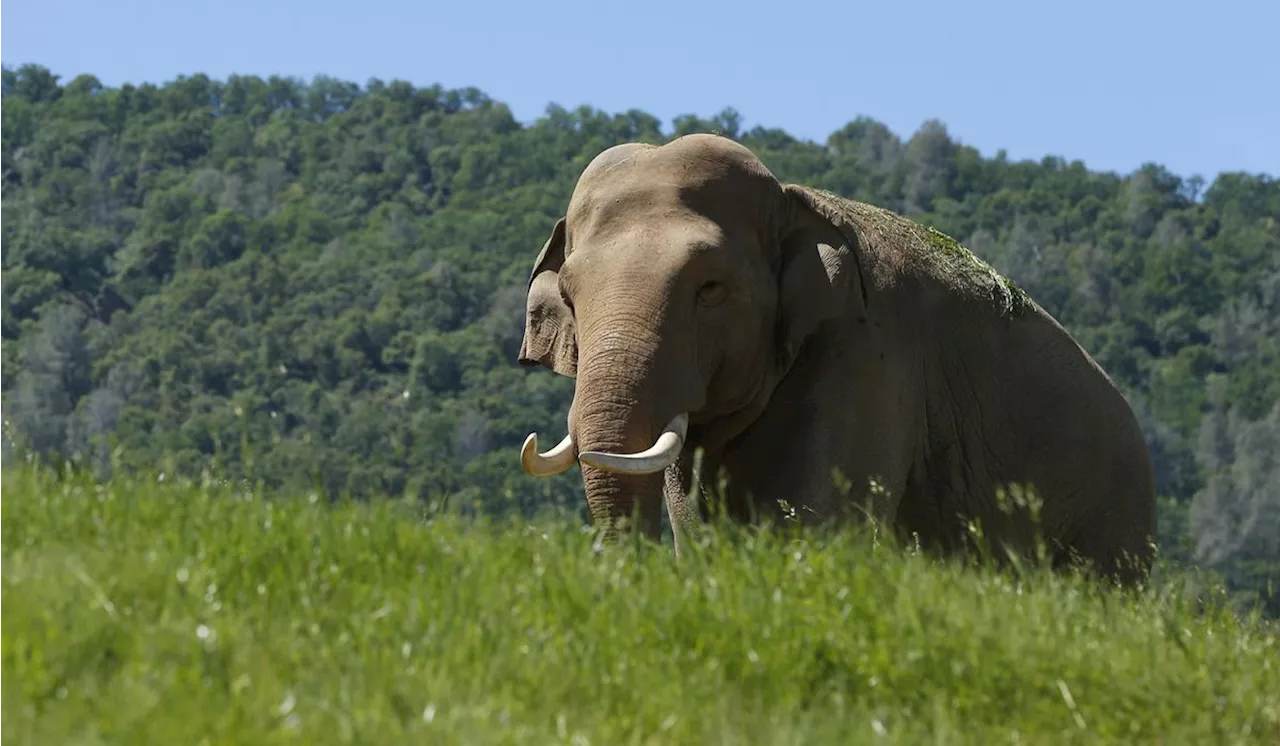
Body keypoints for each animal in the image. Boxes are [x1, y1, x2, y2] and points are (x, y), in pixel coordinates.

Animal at [512, 134, 1162, 588]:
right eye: (568, 295)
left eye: (711, 289)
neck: (795, 202)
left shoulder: (867, 361)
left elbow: (814, 519)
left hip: (1112, 524)